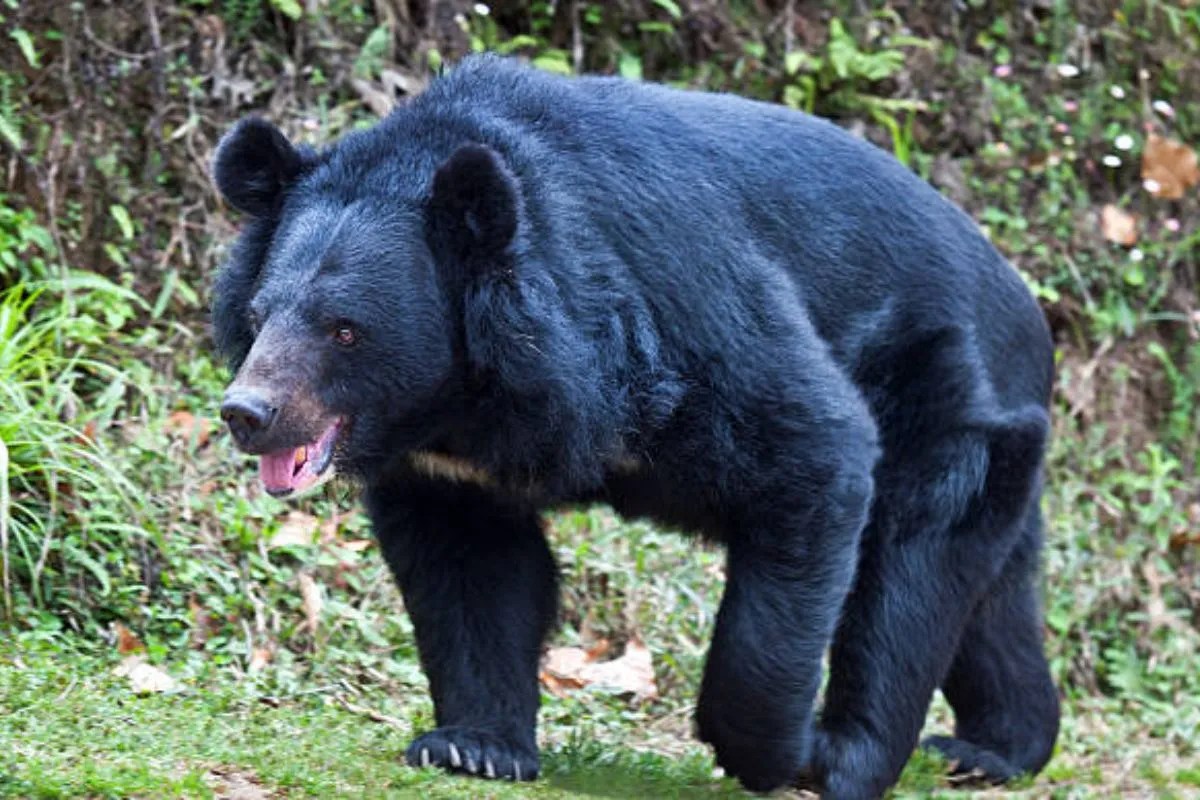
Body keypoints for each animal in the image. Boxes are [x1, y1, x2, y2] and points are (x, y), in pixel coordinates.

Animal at [211, 54, 1060, 799]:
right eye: (258, 316)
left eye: (345, 330)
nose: (248, 413)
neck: (462, 398)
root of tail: (1028, 310)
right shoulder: (447, 468)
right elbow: (471, 570)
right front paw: (473, 746)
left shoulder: (681, 313)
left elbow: (813, 450)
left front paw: (775, 752)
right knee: (992, 593)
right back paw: (994, 748)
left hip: (947, 401)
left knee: (909, 582)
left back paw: (849, 758)